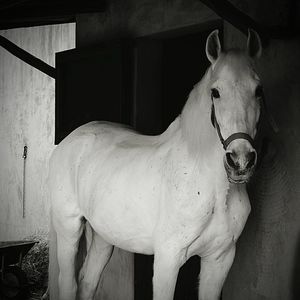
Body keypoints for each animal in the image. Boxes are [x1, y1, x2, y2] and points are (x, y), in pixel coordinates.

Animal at [48, 28, 264, 300]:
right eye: (215, 92)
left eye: (258, 90)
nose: (240, 160)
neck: (212, 187)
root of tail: (71, 140)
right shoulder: (167, 260)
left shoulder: (219, 259)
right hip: (68, 227)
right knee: (68, 284)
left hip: (104, 236)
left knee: (87, 283)